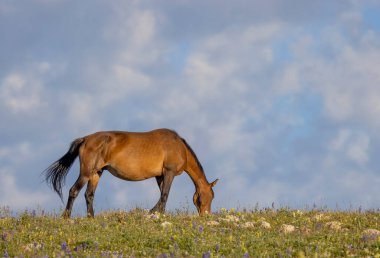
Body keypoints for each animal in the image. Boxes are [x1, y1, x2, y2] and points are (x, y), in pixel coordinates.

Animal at [43, 128, 218, 217]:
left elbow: (162, 195)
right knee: (74, 191)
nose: (206, 216)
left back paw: (91, 218)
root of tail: (85, 139)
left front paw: (157, 213)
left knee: (89, 195)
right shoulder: (169, 172)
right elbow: (165, 195)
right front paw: (154, 213)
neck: (178, 146)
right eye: (209, 197)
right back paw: (66, 217)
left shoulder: (159, 176)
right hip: (86, 173)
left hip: (96, 173)